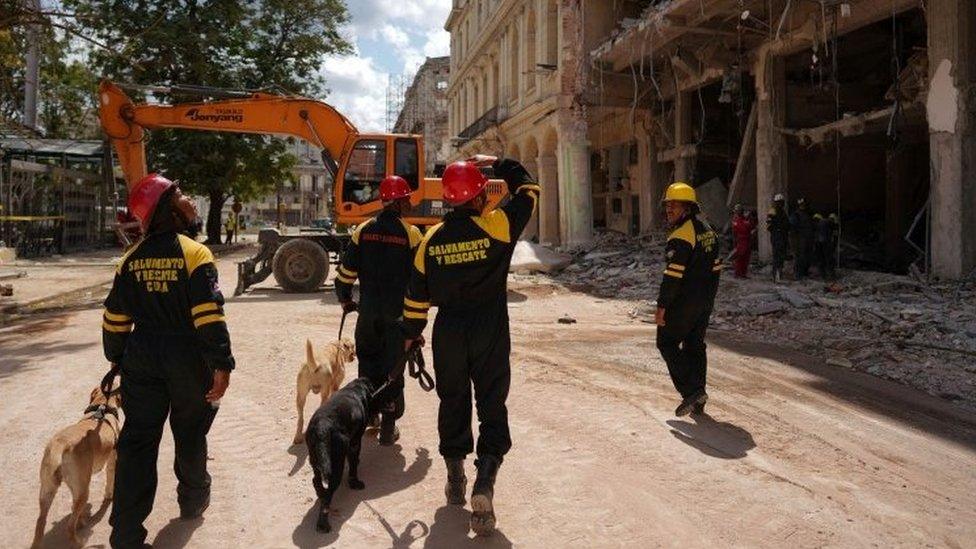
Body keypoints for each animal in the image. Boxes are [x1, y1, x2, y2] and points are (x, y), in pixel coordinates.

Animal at [32, 384, 122, 544]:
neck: (102, 405)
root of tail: (59, 445)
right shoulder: (112, 461)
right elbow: (110, 483)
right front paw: (109, 496)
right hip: (83, 491)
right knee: (69, 527)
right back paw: (79, 541)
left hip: (48, 490)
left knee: (41, 523)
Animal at [304, 376, 388, 532]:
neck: (356, 389)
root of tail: (322, 428)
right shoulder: (355, 442)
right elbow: (353, 465)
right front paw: (355, 483)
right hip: (335, 467)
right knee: (327, 497)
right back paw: (323, 524)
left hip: (315, 461)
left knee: (316, 481)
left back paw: (320, 493)